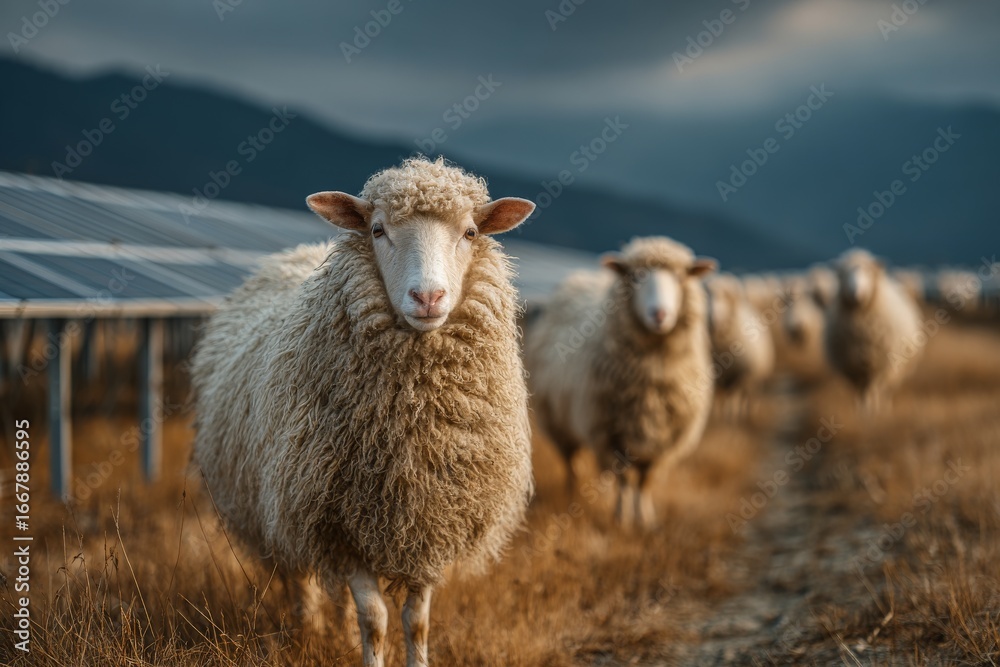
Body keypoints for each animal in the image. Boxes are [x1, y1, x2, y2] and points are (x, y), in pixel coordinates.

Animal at [190, 157, 536, 667]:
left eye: (471, 232)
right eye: (377, 230)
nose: (427, 298)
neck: (413, 415)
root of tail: (296, 253)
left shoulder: (431, 520)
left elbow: (417, 621)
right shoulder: (338, 524)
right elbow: (374, 620)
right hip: (280, 501)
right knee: (299, 576)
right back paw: (308, 629)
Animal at [523, 236, 716, 530]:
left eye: (681, 276)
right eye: (635, 276)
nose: (660, 314)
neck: (653, 371)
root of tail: (578, 278)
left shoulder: (663, 440)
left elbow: (645, 481)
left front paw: (645, 519)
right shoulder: (611, 433)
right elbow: (625, 480)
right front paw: (622, 519)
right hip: (558, 420)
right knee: (571, 462)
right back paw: (572, 493)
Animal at [705, 273, 774, 418]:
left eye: (725, 295)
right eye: (705, 294)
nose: (713, 320)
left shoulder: (744, 375)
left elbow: (736, 397)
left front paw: (734, 413)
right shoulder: (717, 376)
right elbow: (718, 397)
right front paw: (717, 413)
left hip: (755, 379)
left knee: (749, 396)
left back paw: (749, 410)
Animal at [824, 248, 924, 413]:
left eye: (868, 271)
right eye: (844, 273)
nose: (855, 293)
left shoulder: (880, 363)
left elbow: (873, 388)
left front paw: (873, 410)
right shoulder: (851, 365)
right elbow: (860, 390)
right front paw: (861, 410)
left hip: (895, 368)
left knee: (885, 389)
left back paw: (883, 406)